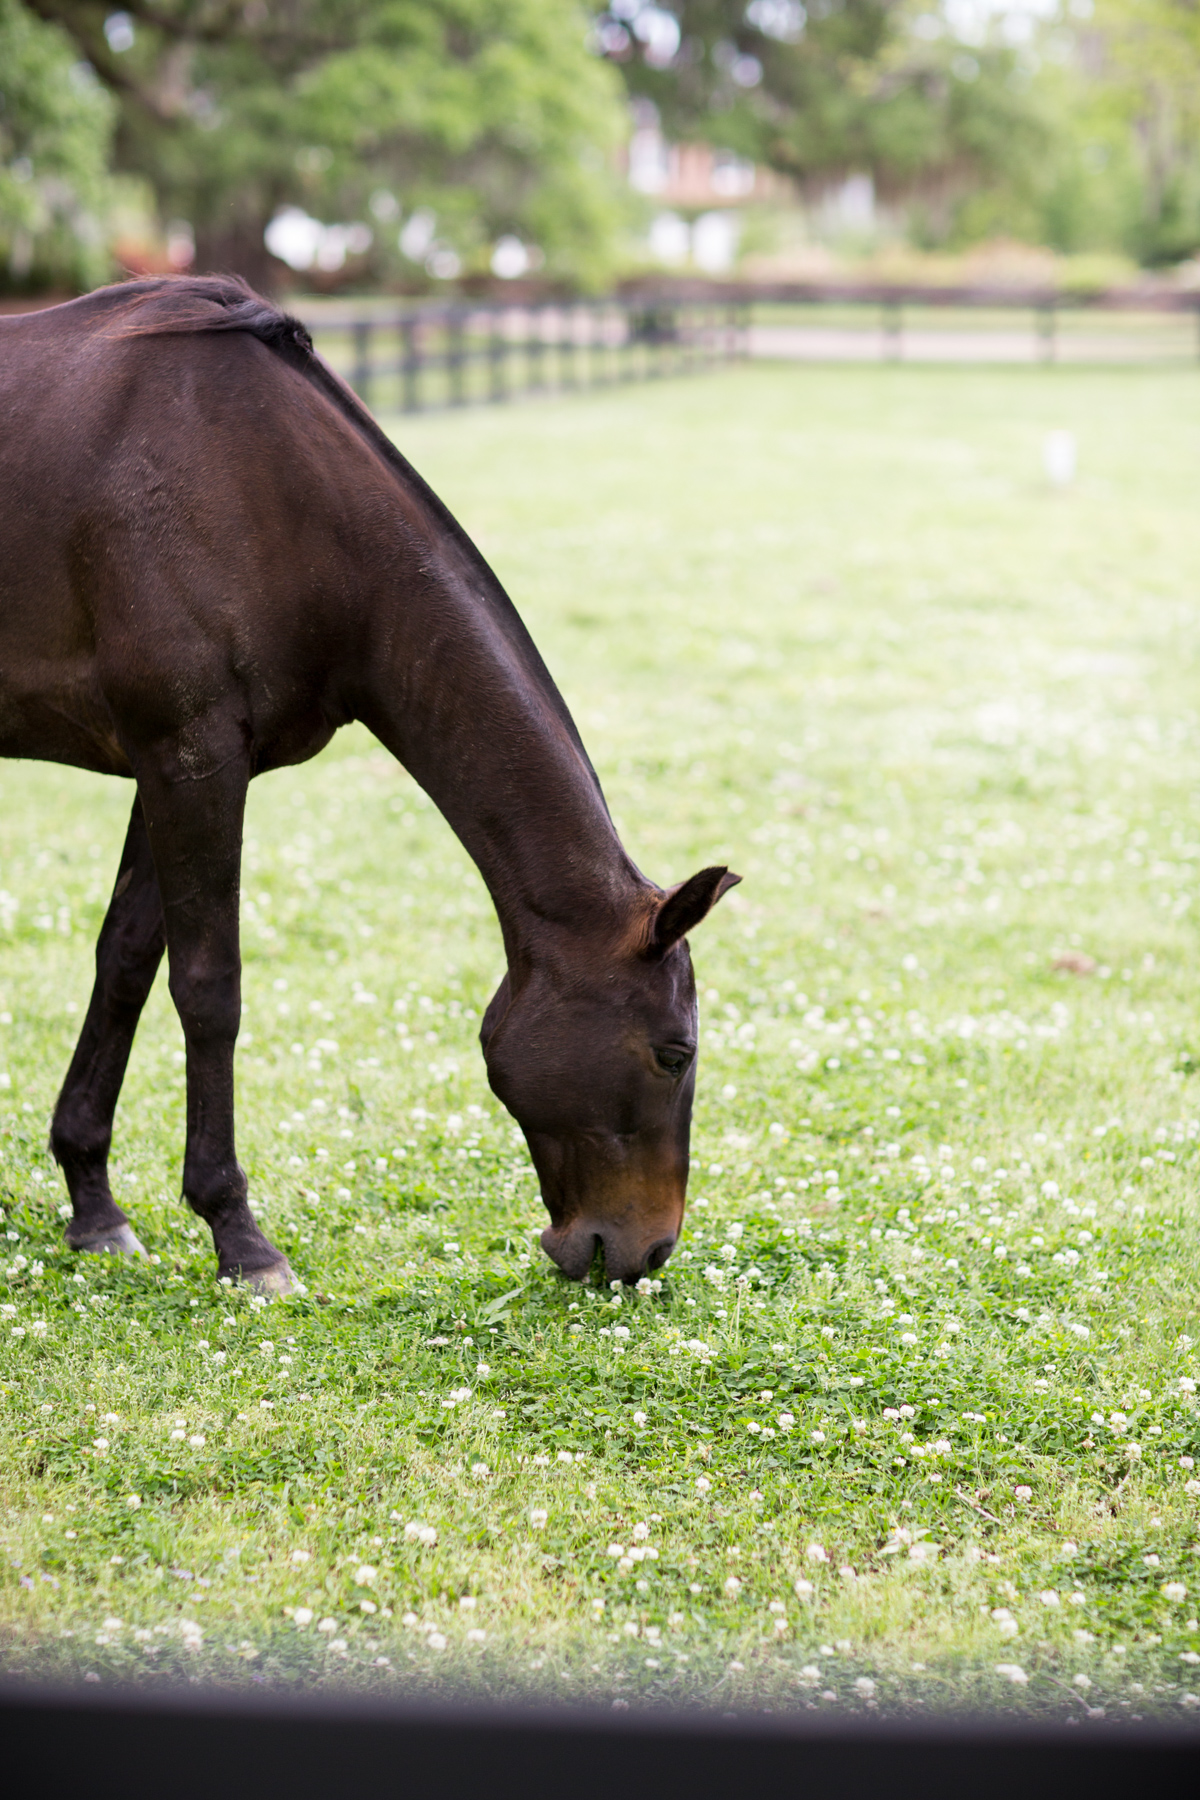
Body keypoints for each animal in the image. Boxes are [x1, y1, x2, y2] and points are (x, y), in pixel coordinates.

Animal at [0, 277, 737, 1296]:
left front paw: (93, 1203)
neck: (272, 495)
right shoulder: (194, 760)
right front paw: (238, 1234)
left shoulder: (168, 768)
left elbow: (125, 965)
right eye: (675, 1053)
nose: (646, 1251)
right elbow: (208, 987)